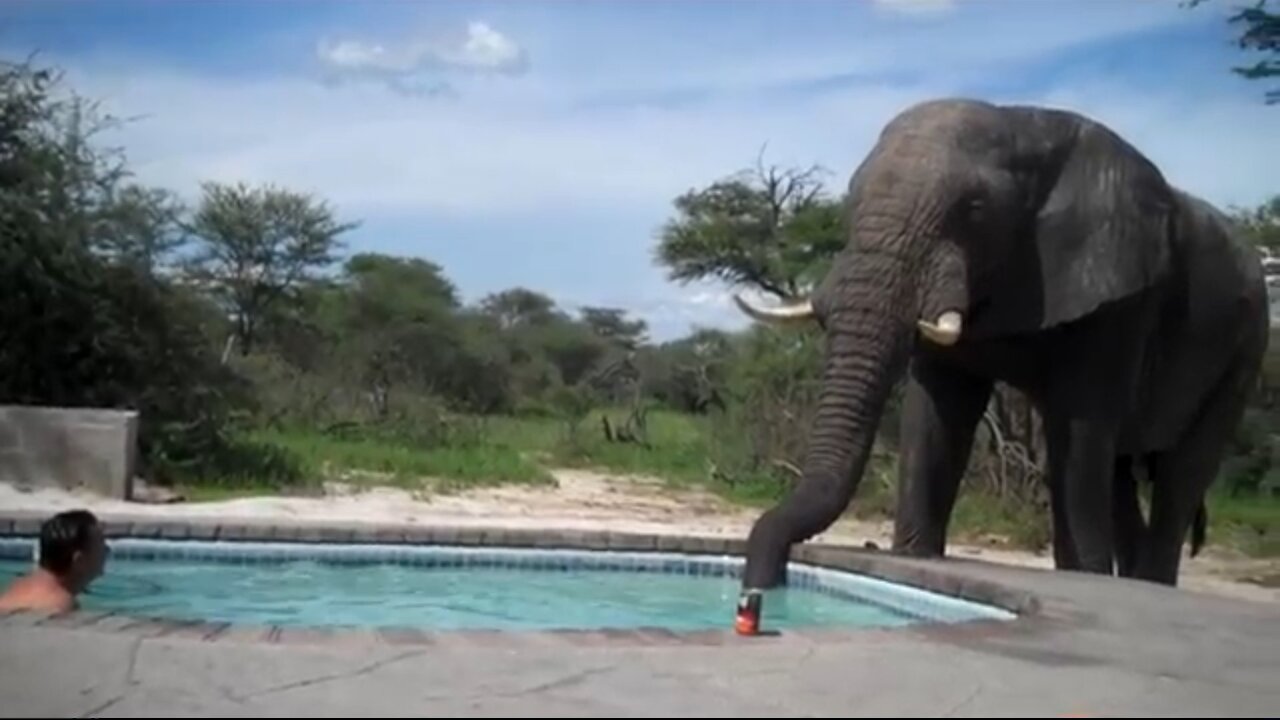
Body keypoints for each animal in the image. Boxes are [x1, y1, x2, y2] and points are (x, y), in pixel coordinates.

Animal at [737, 95, 1264, 589]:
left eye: (974, 210)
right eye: (850, 200)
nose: (762, 586)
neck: (1022, 124)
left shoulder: (1119, 295)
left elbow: (1078, 429)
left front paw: (1085, 577)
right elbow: (938, 411)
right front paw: (914, 558)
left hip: (1245, 350)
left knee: (1181, 474)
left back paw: (1143, 582)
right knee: (1119, 475)